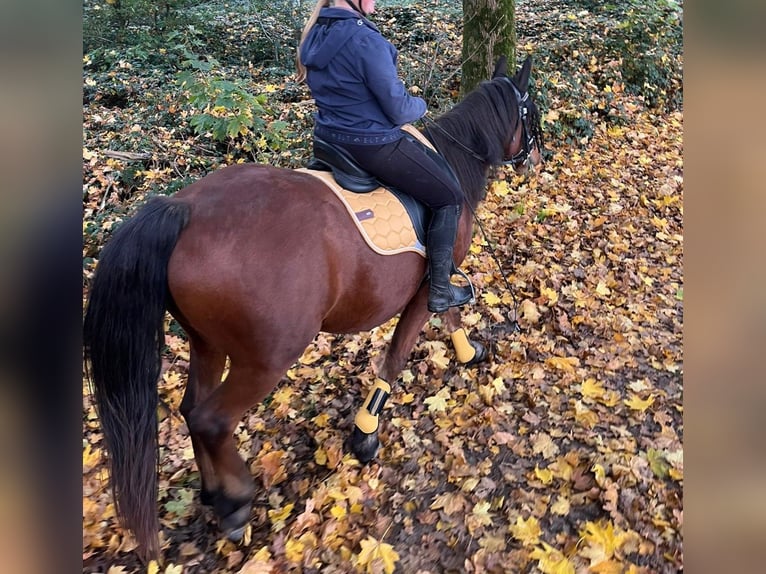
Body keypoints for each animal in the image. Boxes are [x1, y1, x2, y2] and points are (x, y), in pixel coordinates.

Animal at [84, 56, 544, 560]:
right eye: (533, 112)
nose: (537, 158)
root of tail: (181, 209)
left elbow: (452, 317)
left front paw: (467, 353)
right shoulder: (427, 289)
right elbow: (400, 352)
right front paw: (365, 433)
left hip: (206, 342)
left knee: (190, 408)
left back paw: (213, 493)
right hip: (266, 358)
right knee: (211, 419)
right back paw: (236, 502)